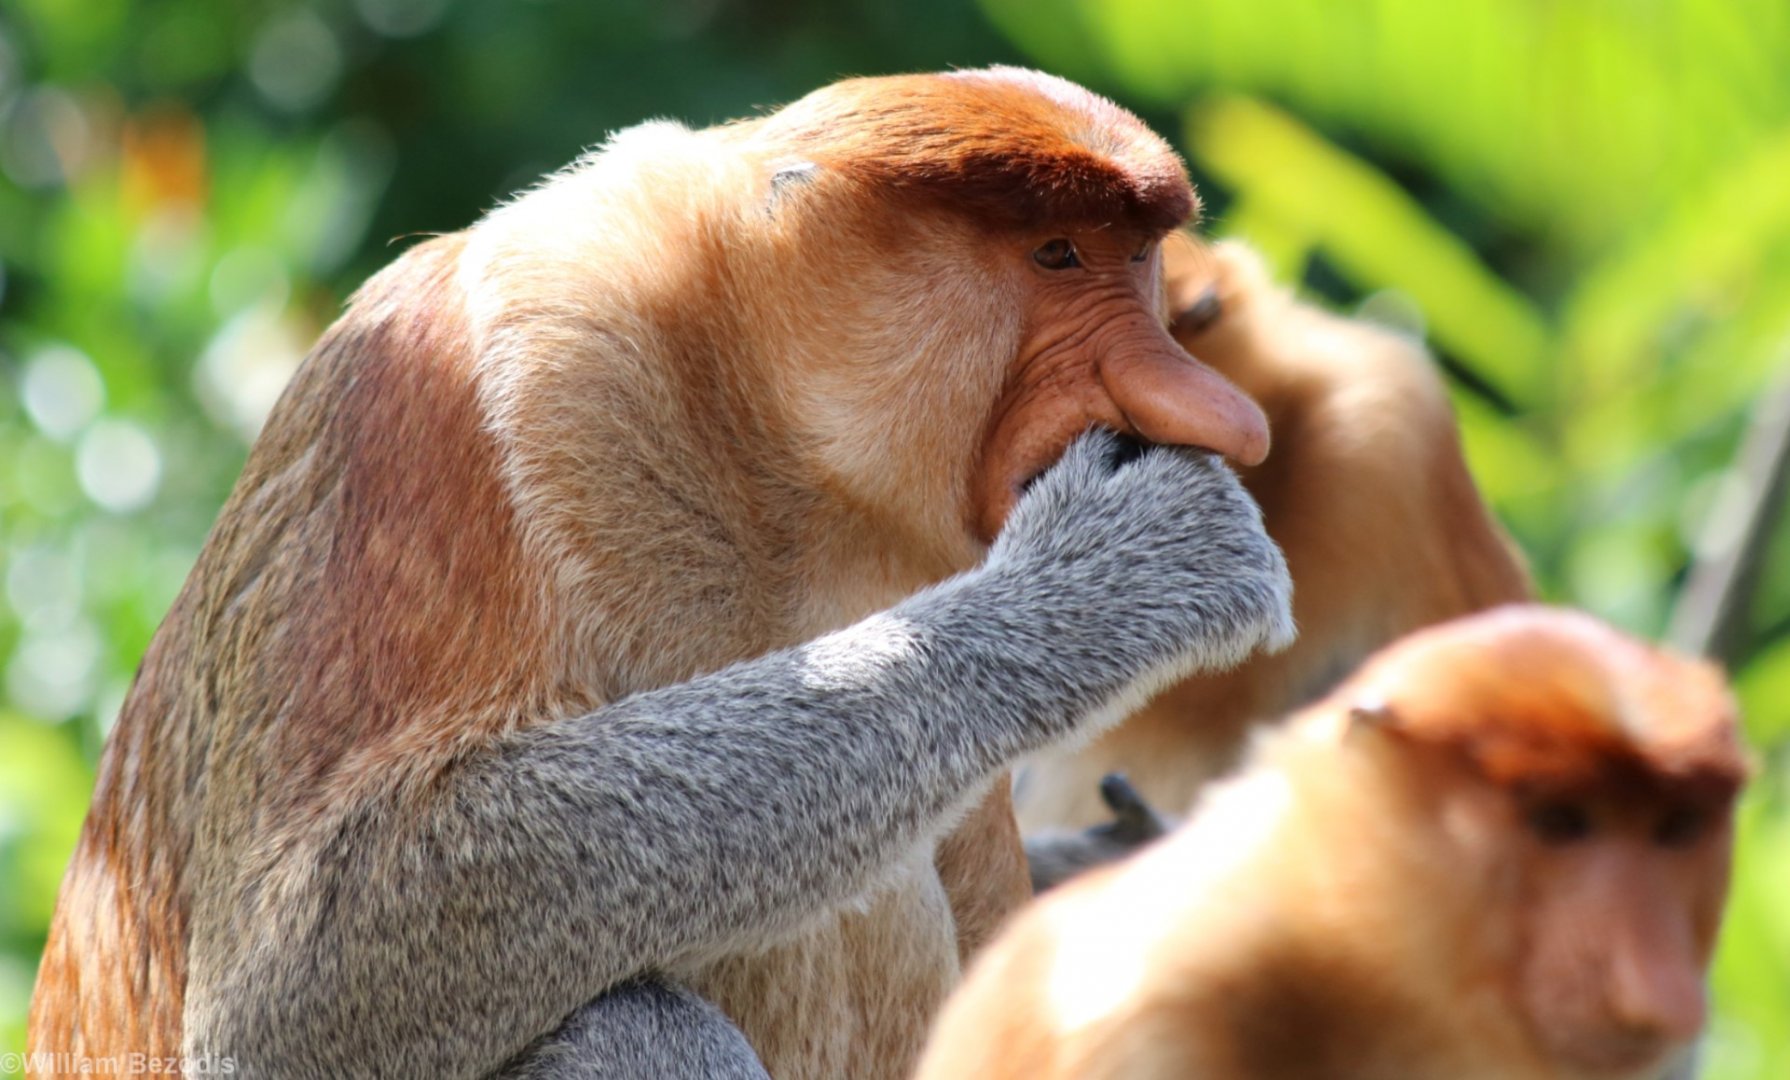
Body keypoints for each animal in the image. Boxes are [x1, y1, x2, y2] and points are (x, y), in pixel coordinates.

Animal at [26, 68, 1297, 1079]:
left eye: (1137, 257)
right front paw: (1122, 570)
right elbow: (303, 978)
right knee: (619, 1019)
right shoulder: (434, 394)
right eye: (1055, 252)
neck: (780, 461)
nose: (1221, 415)